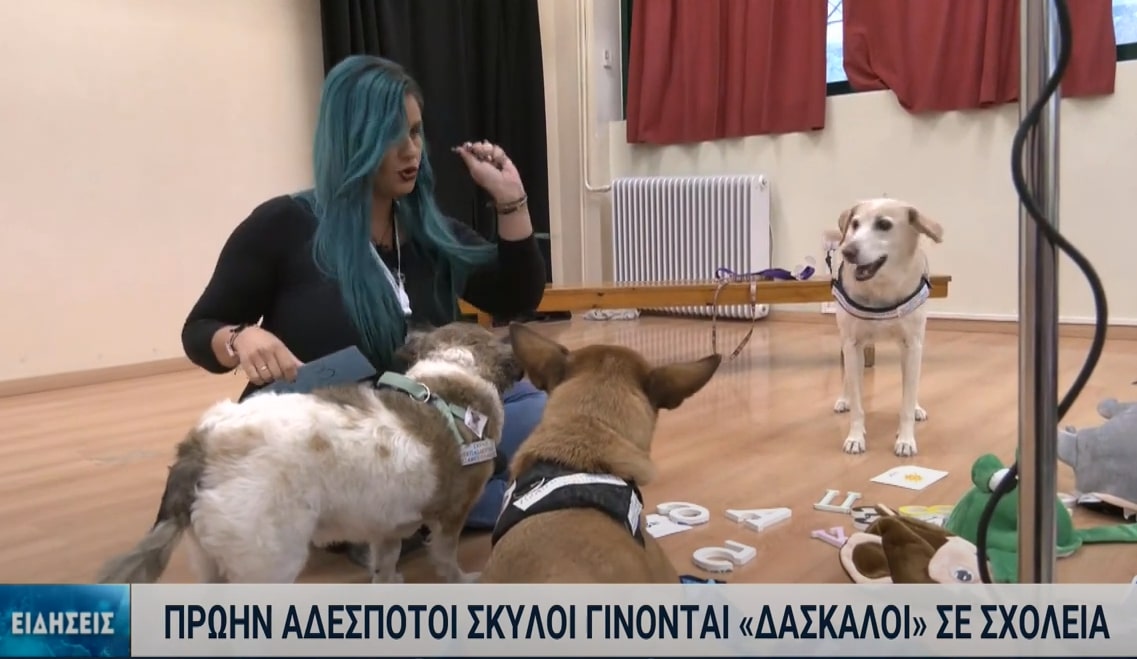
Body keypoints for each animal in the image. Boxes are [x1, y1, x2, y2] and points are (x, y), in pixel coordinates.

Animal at [96, 322, 522, 584]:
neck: (455, 373)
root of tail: (204, 443)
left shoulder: (386, 526)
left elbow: (385, 564)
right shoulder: (451, 515)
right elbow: (447, 558)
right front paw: (463, 579)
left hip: (211, 562)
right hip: (269, 562)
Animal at [825, 198, 944, 457]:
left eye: (884, 225)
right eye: (855, 224)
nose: (848, 251)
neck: (881, 288)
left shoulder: (912, 345)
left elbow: (907, 400)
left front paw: (906, 439)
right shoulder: (852, 345)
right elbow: (858, 402)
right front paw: (855, 437)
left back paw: (917, 407)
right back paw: (844, 399)